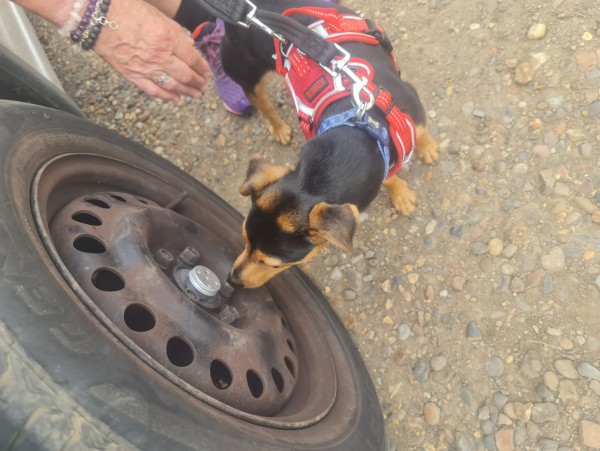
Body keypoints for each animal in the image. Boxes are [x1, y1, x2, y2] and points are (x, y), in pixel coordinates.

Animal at [223, 0, 438, 290]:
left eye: (272, 264)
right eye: (244, 239)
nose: (232, 280)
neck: (359, 128)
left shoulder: (411, 106)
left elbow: (419, 135)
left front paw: (424, 151)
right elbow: (388, 176)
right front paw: (400, 191)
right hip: (245, 73)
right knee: (262, 103)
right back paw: (279, 128)